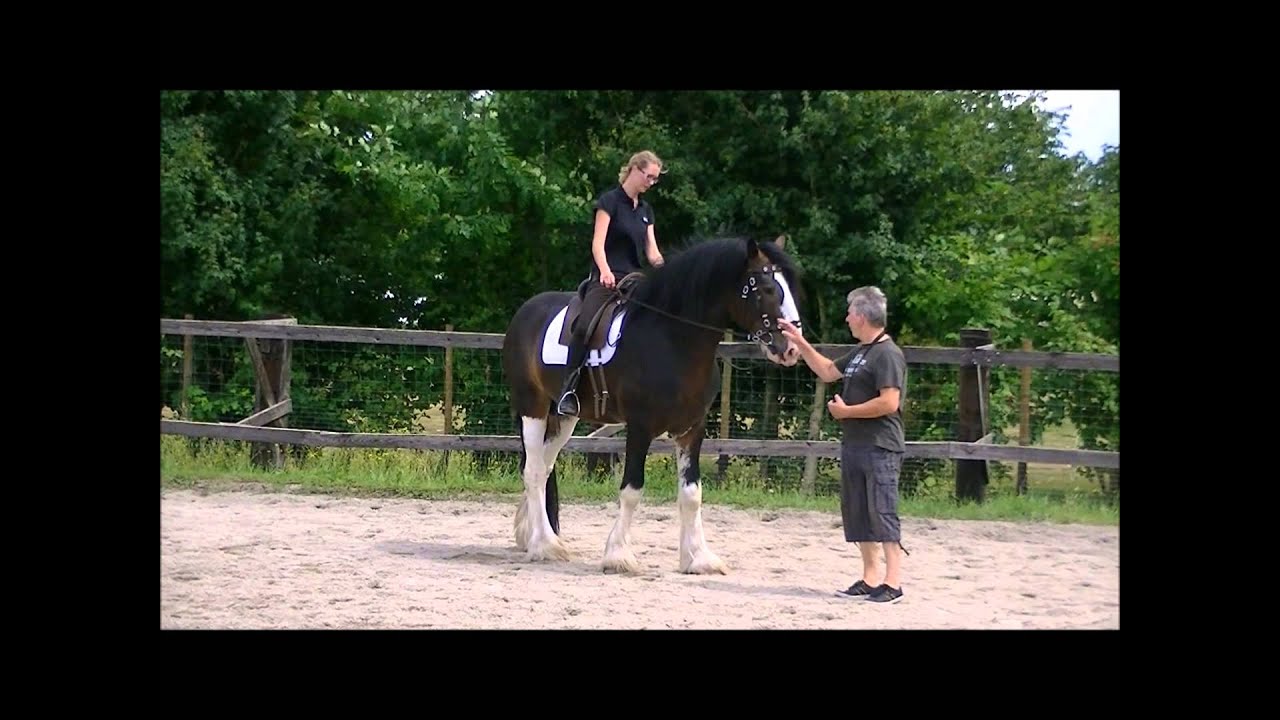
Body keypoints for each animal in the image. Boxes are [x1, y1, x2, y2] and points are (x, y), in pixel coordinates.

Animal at [499, 234, 805, 574]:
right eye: (767, 289)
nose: (792, 348)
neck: (673, 340)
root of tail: (526, 310)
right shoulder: (640, 427)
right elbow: (632, 489)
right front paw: (619, 555)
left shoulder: (691, 430)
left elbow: (692, 493)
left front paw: (698, 557)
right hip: (533, 407)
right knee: (533, 470)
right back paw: (545, 545)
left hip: (565, 417)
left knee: (542, 467)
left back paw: (534, 535)